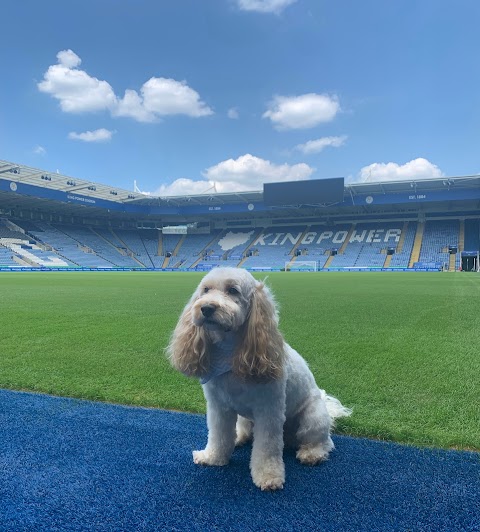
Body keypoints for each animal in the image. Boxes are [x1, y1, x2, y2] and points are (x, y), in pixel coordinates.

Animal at [167, 266, 350, 490]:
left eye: (233, 290)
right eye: (206, 290)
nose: (206, 308)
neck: (230, 355)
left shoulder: (269, 411)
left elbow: (266, 448)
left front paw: (268, 476)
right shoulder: (219, 407)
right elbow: (219, 436)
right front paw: (213, 458)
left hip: (312, 418)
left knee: (323, 442)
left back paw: (312, 454)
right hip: (246, 417)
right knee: (244, 430)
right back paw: (239, 437)